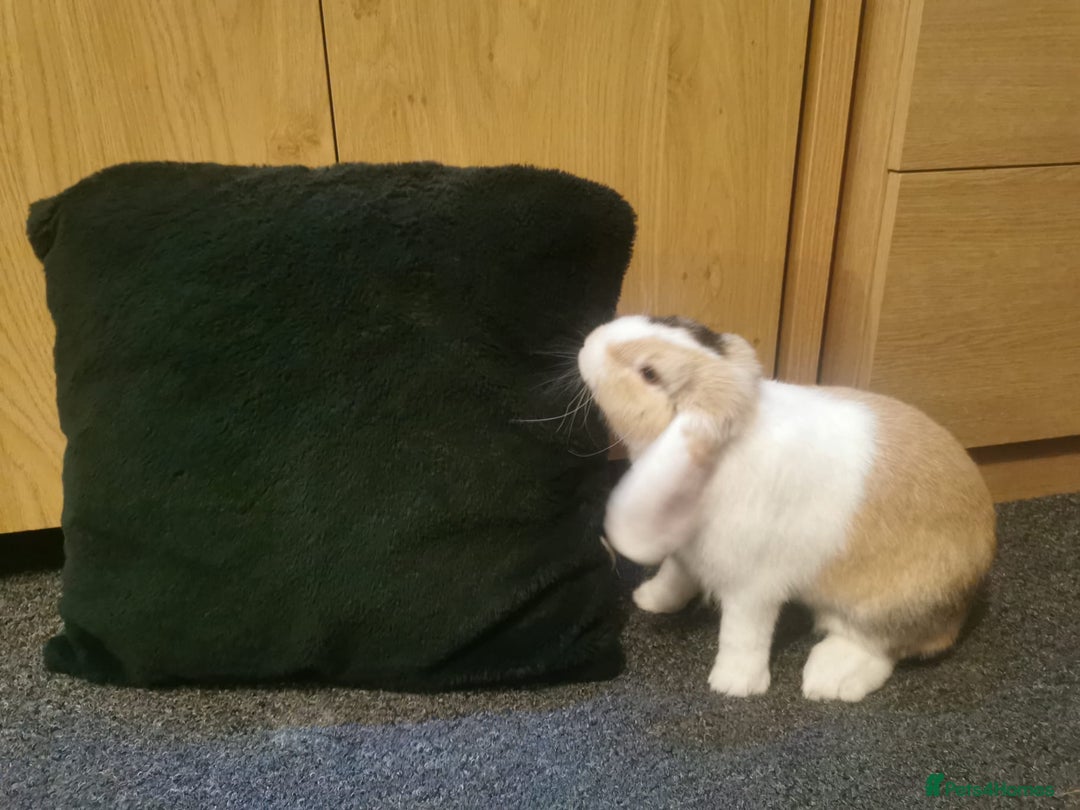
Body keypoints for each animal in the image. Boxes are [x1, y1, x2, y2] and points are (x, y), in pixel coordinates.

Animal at [578, 314, 996, 701]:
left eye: (649, 373)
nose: (588, 342)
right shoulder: (686, 555)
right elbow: (674, 578)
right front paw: (650, 600)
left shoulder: (752, 587)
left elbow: (743, 634)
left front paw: (734, 685)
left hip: (889, 606)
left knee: (878, 646)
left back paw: (828, 679)